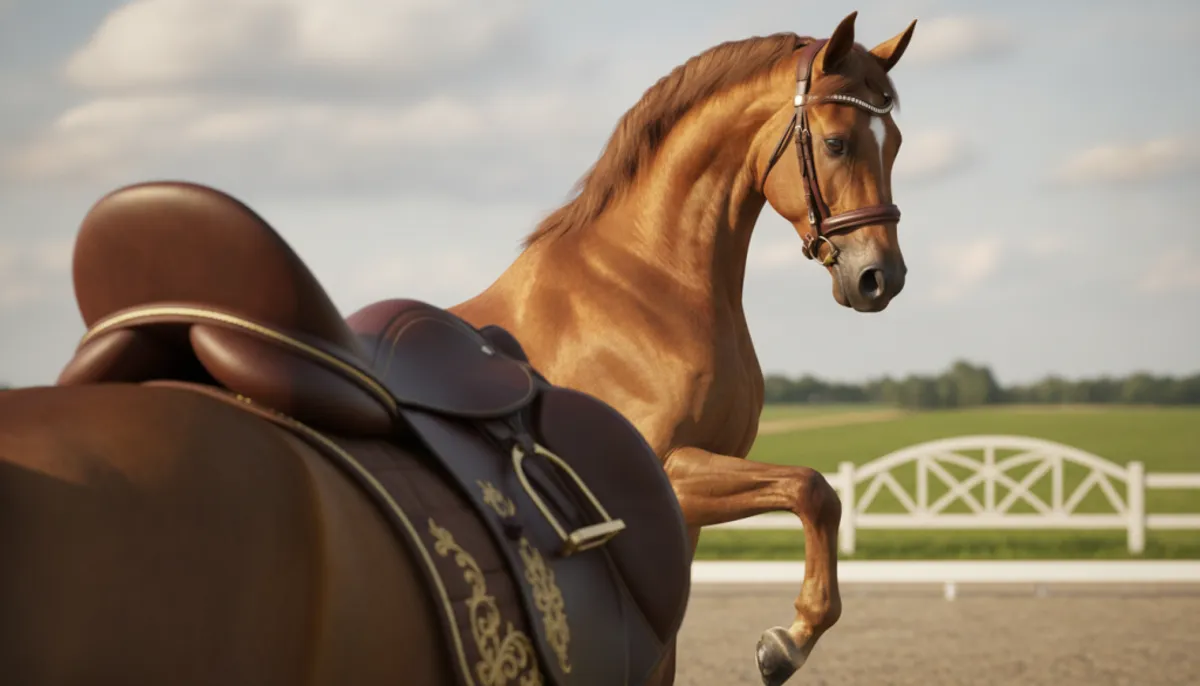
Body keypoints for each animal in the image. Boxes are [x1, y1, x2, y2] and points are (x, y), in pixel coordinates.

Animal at [450, 12, 918, 685]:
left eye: (896, 142)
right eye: (836, 143)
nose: (881, 278)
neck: (652, 284)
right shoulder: (662, 475)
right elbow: (813, 488)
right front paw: (787, 642)